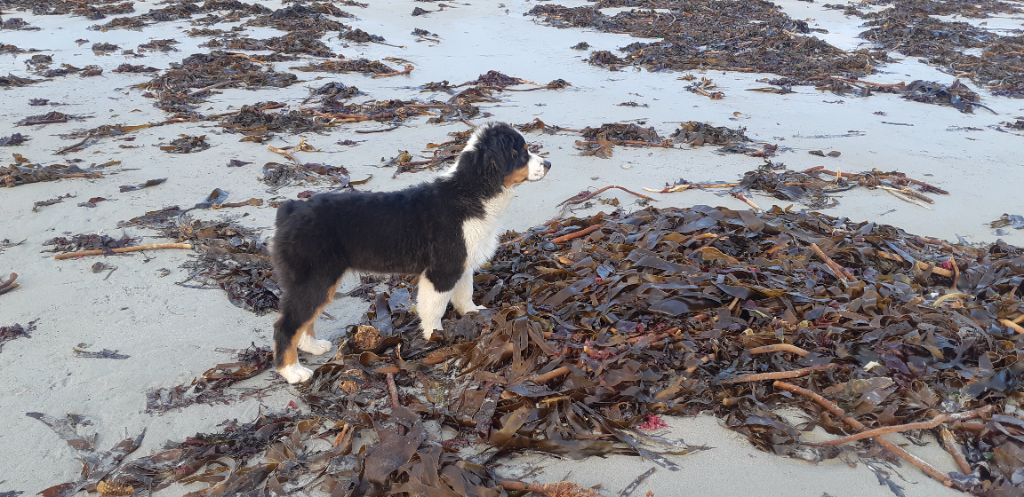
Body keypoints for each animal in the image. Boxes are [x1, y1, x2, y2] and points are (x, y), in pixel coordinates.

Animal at [268, 121, 548, 381]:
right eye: (521, 151)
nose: (549, 164)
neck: (471, 190)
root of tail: (290, 210)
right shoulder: (442, 270)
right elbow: (434, 307)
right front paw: (435, 335)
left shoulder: (461, 263)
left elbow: (464, 293)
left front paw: (473, 313)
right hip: (314, 279)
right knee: (286, 325)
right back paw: (292, 371)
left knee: (303, 319)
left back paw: (312, 347)